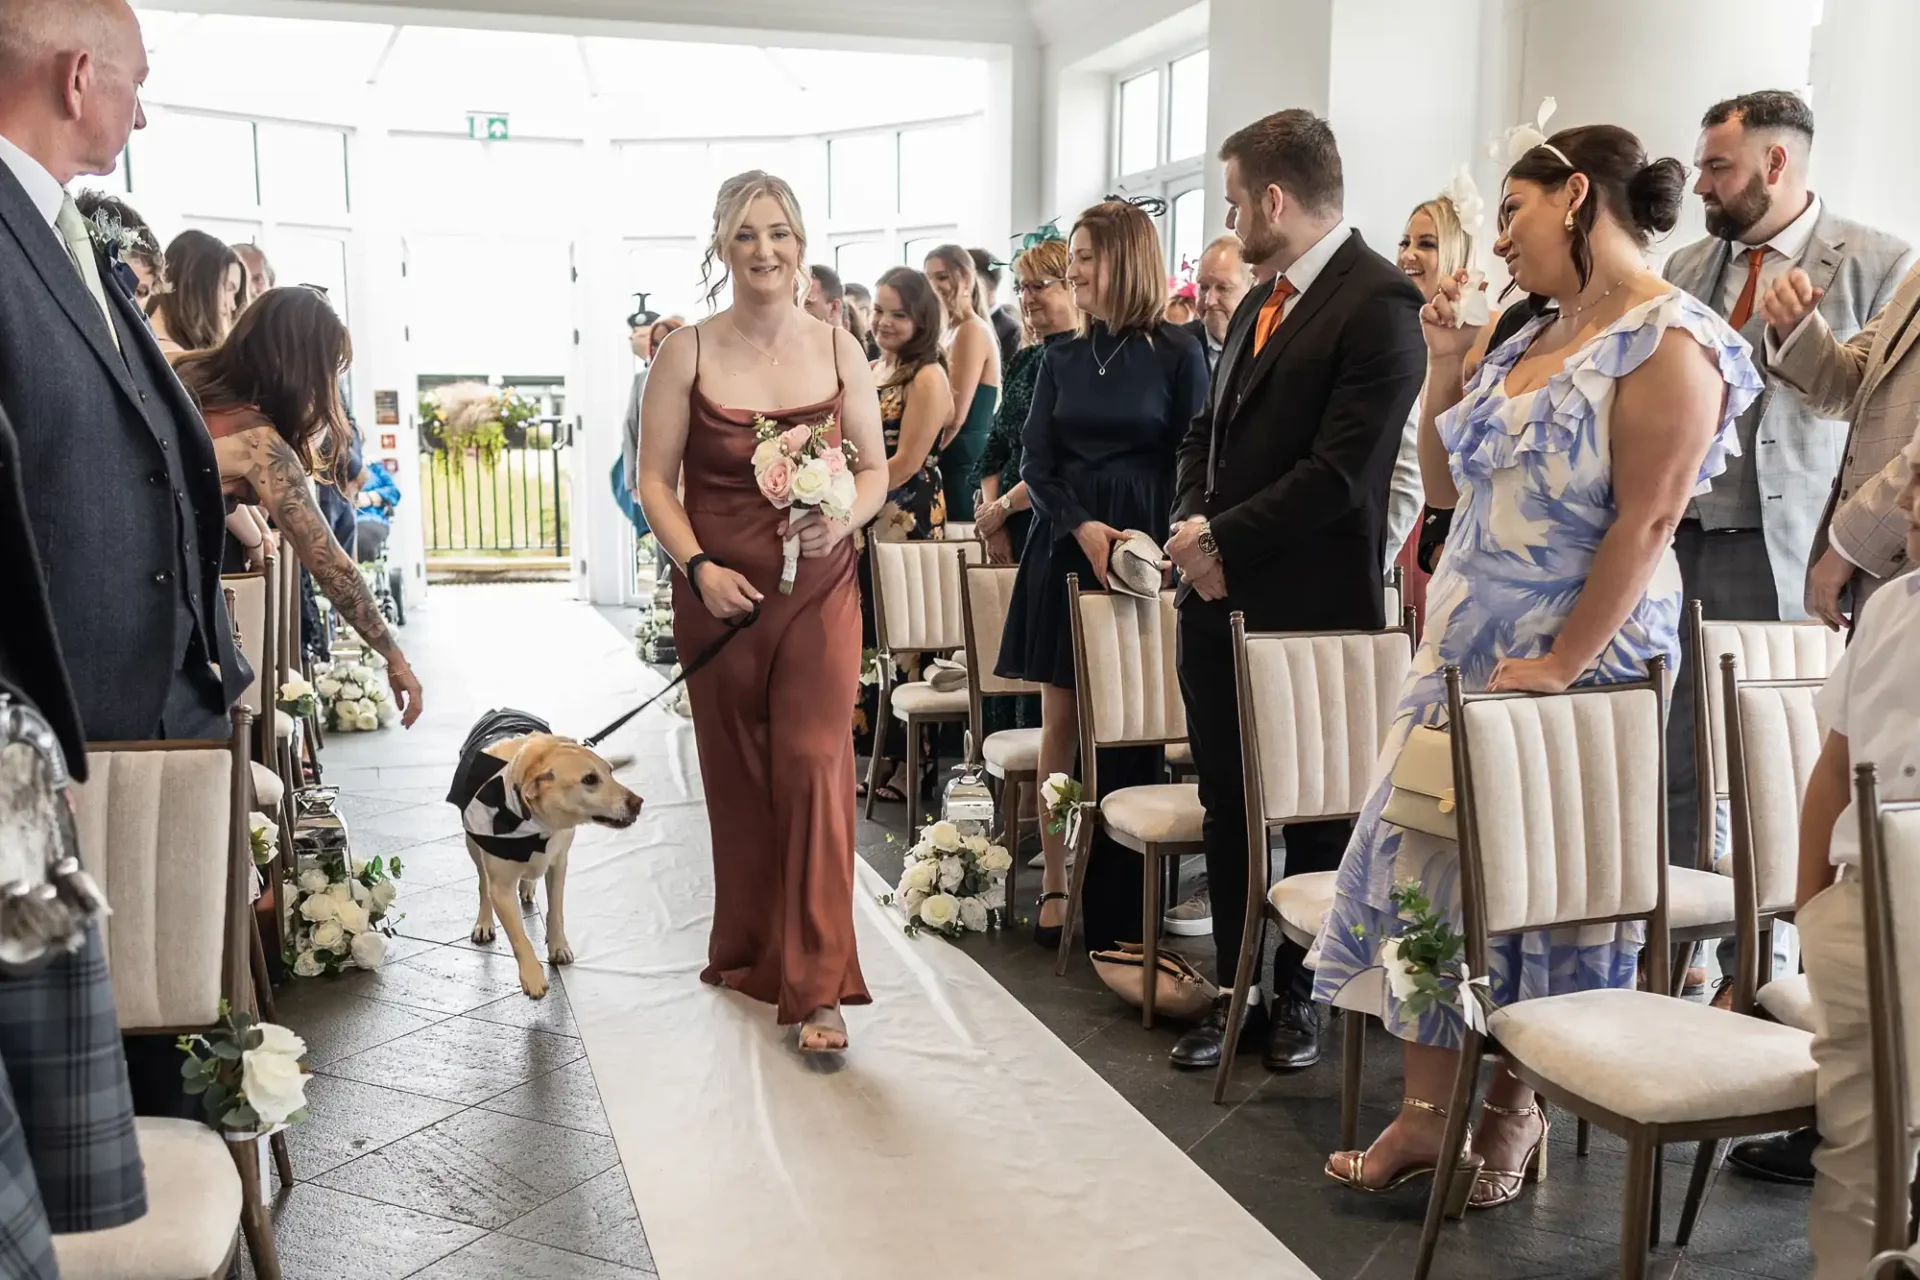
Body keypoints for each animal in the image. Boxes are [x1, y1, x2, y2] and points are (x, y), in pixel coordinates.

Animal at [441, 710, 637, 997]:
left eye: (610, 772)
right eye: (589, 779)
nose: (638, 803)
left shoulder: (559, 863)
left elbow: (555, 911)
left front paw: (558, 946)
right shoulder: (501, 887)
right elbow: (518, 935)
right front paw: (532, 975)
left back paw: (527, 885)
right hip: (473, 847)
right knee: (482, 884)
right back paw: (485, 921)